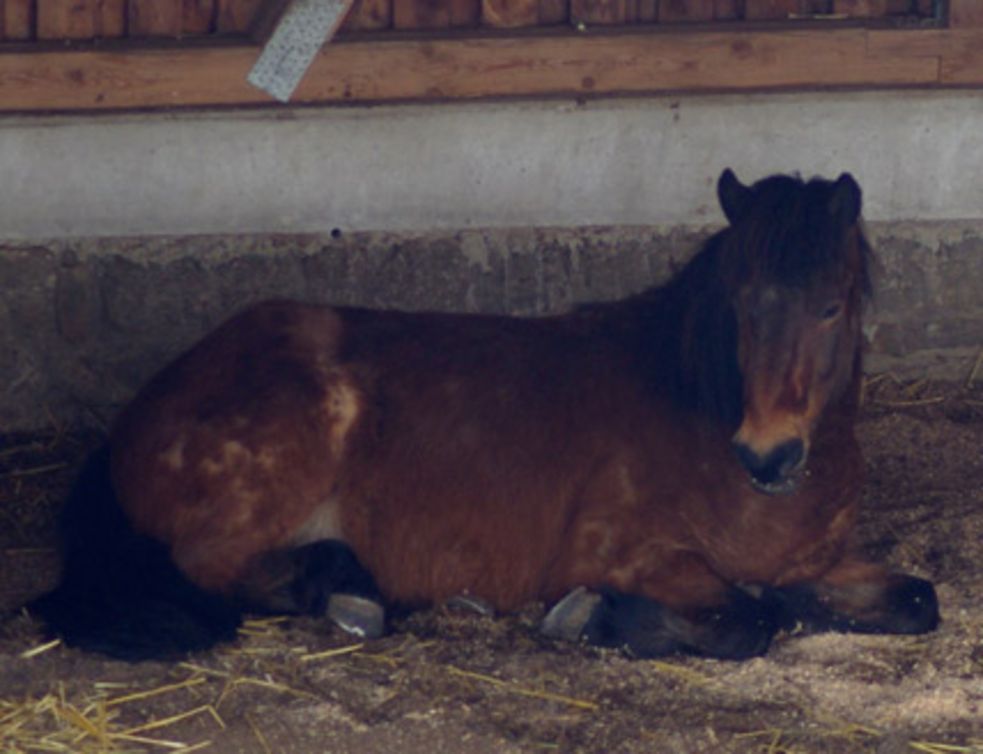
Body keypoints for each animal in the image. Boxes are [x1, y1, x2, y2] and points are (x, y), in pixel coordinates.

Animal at [28, 167, 936, 656]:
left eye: (830, 306)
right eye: (742, 304)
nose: (767, 454)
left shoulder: (821, 561)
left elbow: (916, 601)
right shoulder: (626, 552)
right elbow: (746, 621)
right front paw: (600, 617)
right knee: (204, 567)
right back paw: (345, 592)